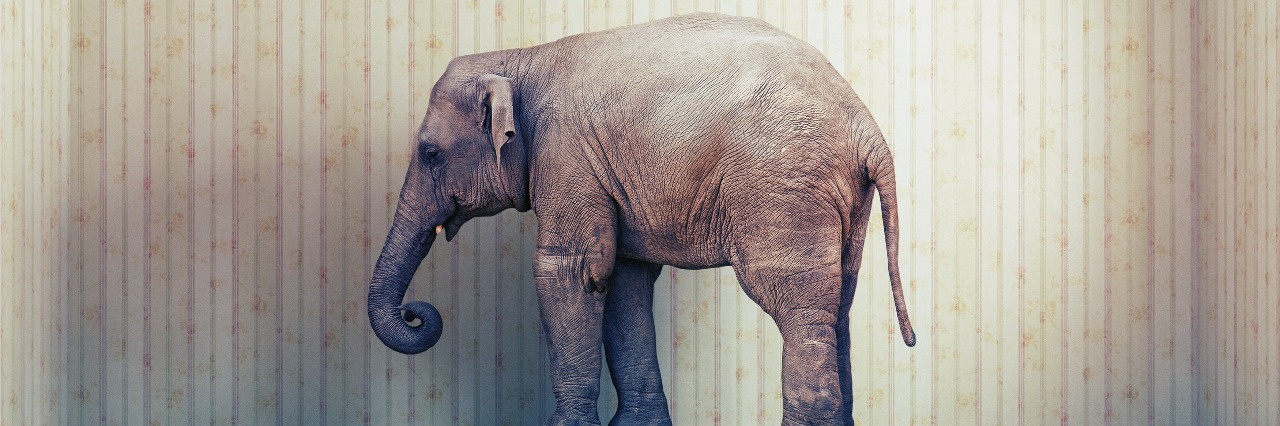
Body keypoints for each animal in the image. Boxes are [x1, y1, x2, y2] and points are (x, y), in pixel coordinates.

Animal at [367, 12, 916, 425]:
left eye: (431, 154)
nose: (417, 312)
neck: (519, 57)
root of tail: (866, 127)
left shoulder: (567, 157)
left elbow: (569, 271)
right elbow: (622, 279)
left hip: (782, 183)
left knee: (793, 302)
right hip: (840, 197)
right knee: (838, 299)